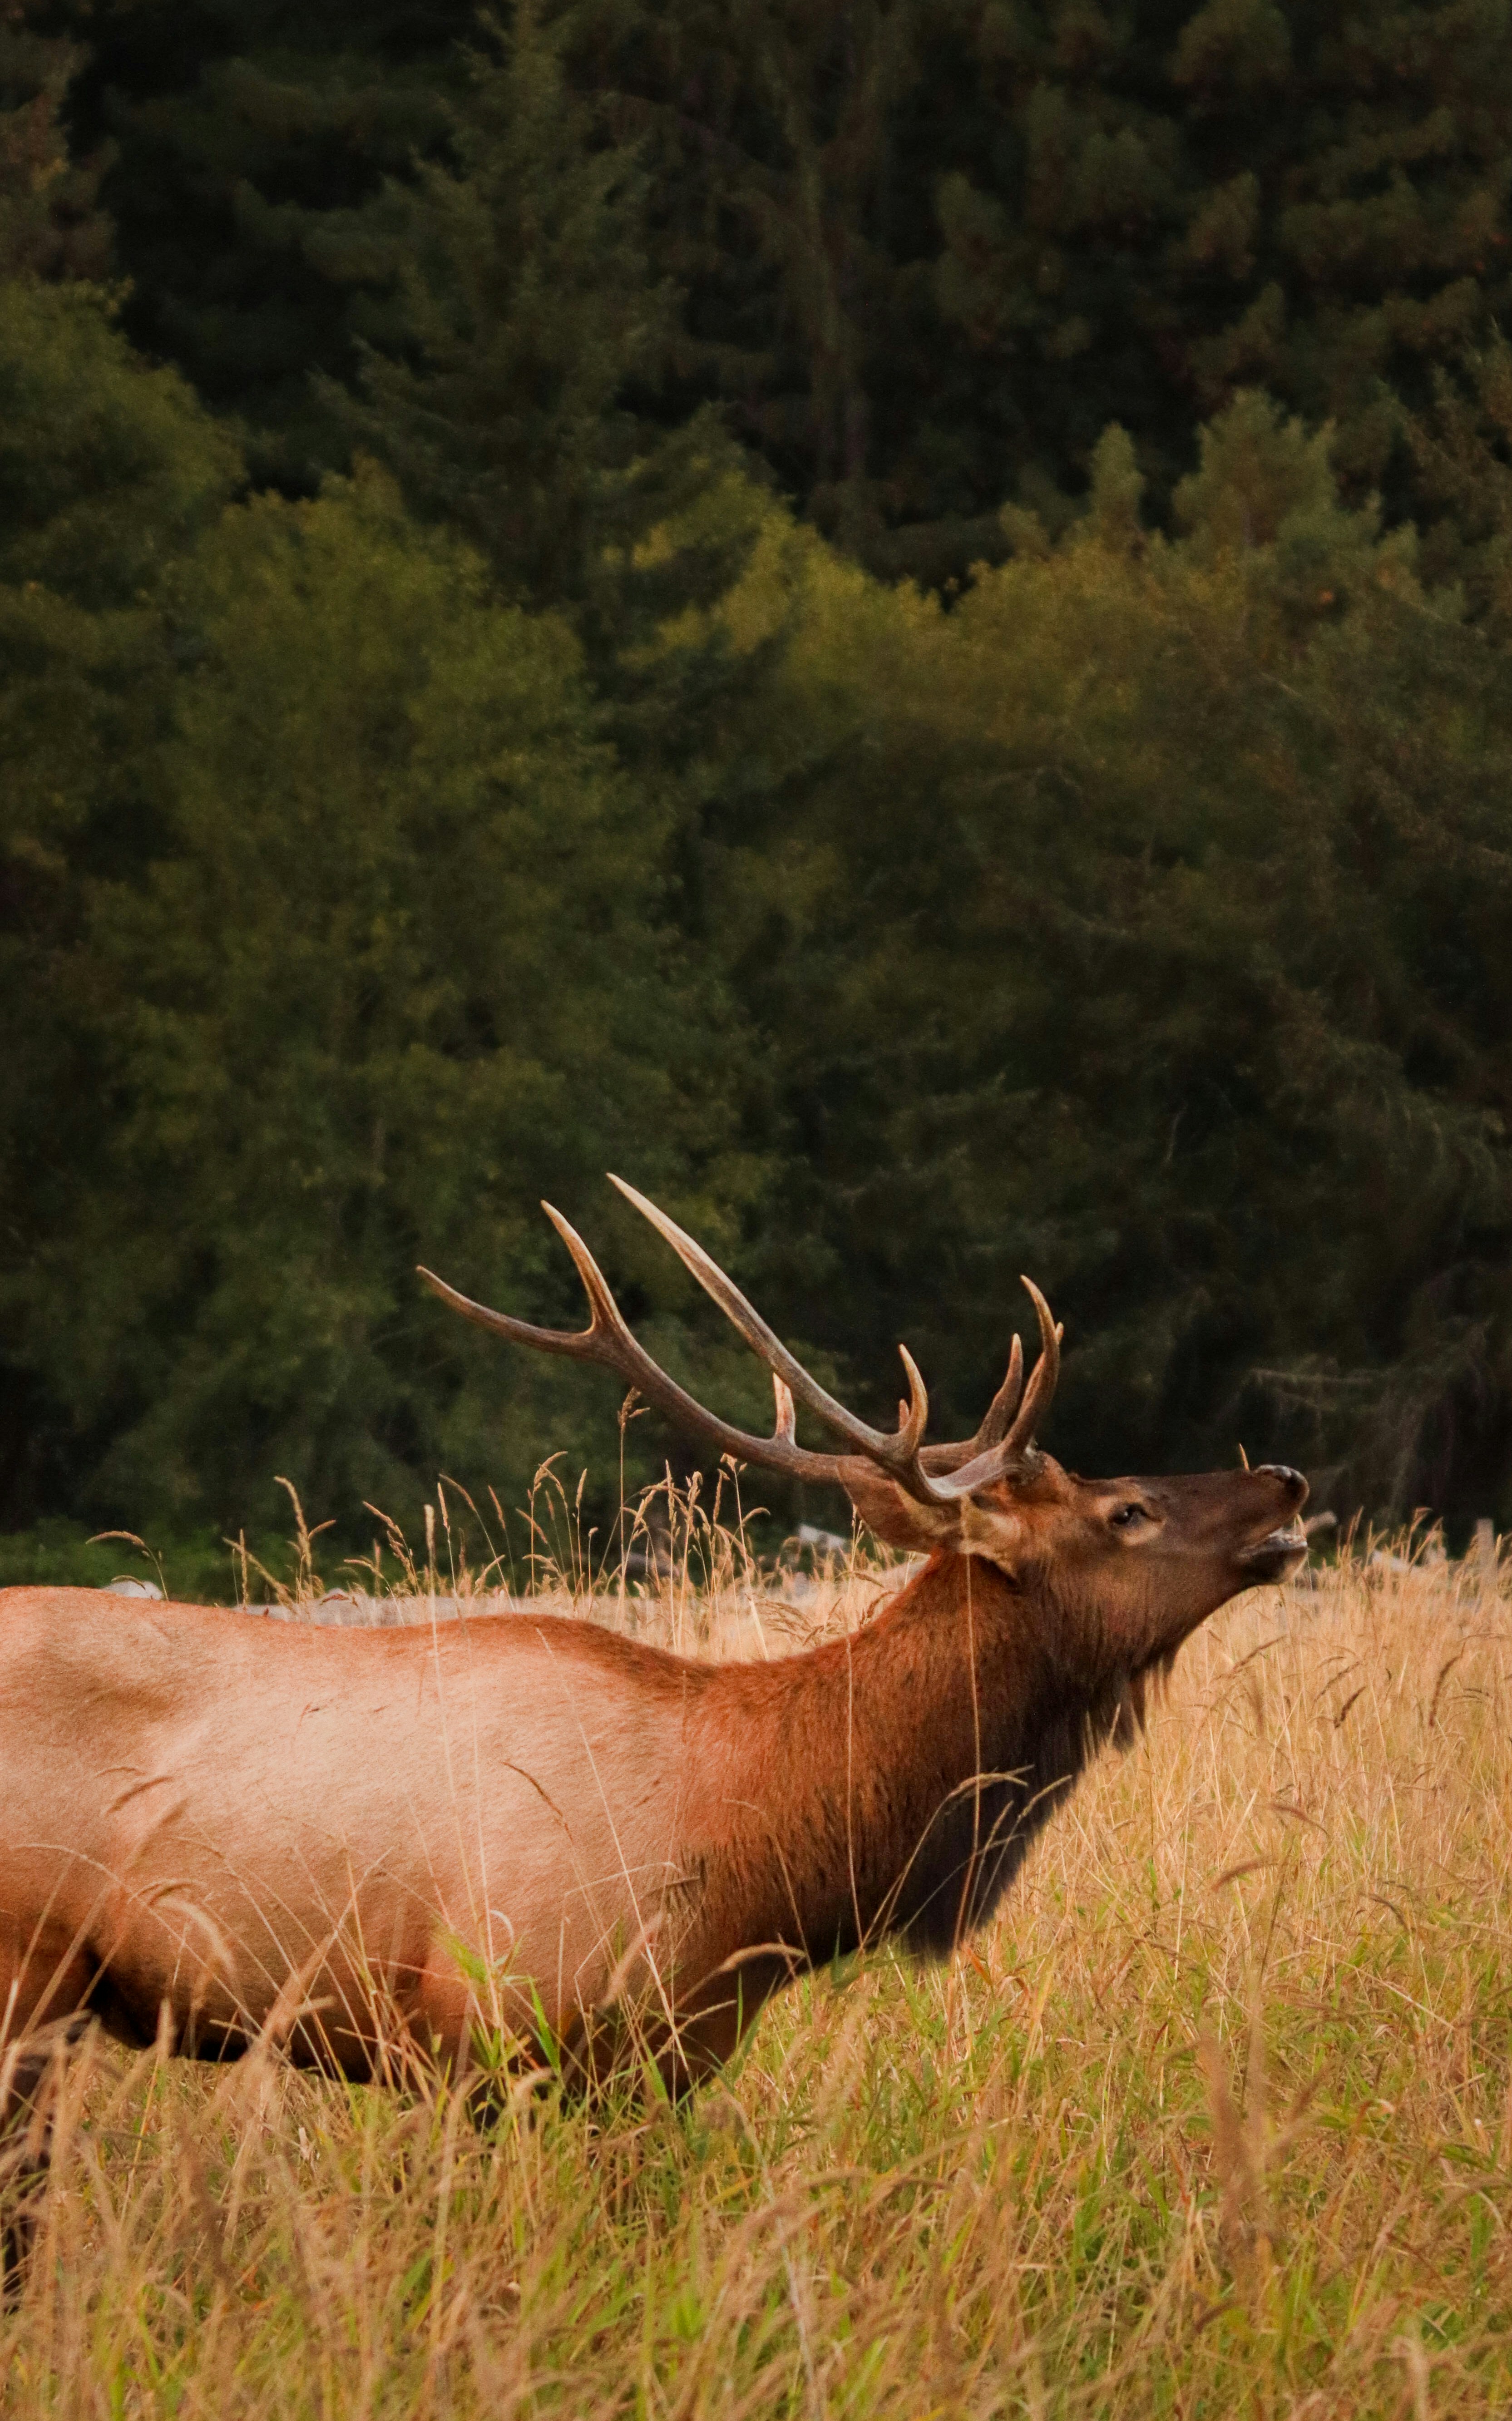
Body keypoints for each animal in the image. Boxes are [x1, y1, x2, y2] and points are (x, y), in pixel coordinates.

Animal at [0, 1177, 1306, 2267]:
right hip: (28, 1979)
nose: (1285, 1479)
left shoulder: (657, 2064)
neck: (759, 1849)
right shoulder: (494, 2033)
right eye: (1126, 1509)